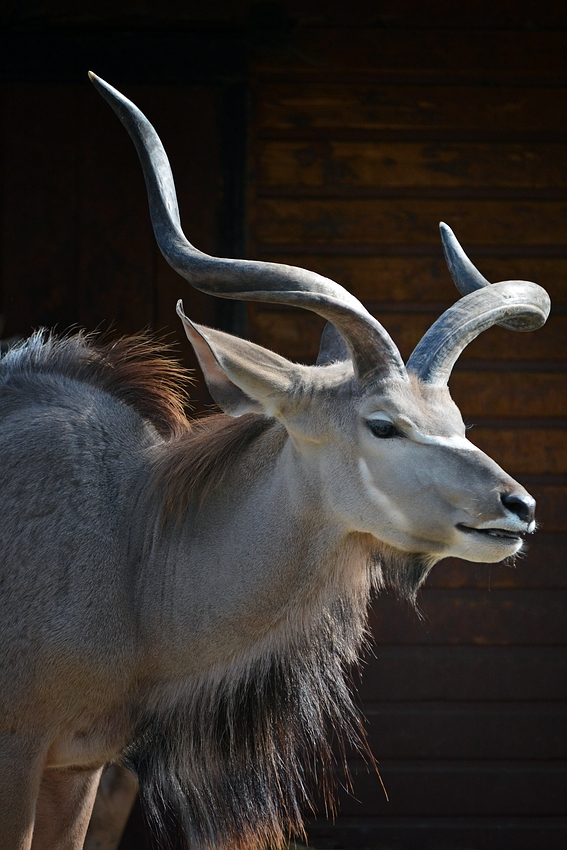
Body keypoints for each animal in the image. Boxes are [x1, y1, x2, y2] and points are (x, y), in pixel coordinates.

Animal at [0, 74, 552, 848]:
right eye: (383, 425)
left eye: (458, 424)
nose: (517, 506)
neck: (131, 542)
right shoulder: (19, 753)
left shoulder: (75, 768)